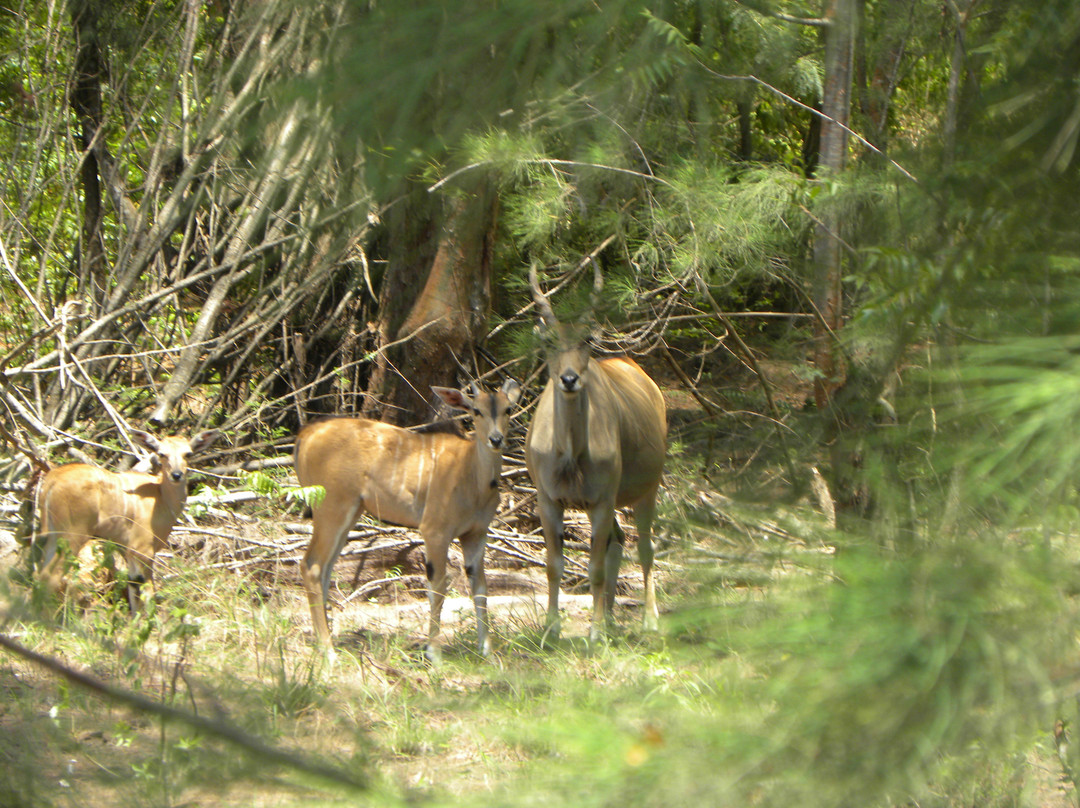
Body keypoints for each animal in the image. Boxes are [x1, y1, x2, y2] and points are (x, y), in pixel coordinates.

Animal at [37, 429, 219, 613]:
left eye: (188, 453)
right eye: (162, 453)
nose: (176, 475)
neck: (161, 497)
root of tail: (52, 480)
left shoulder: (128, 550)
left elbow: (133, 587)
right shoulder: (143, 550)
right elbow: (148, 591)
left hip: (54, 535)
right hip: (73, 535)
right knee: (51, 576)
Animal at [295, 378, 522, 656]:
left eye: (508, 409)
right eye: (476, 411)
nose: (496, 439)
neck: (472, 473)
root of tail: (306, 435)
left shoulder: (476, 534)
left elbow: (480, 589)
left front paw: (487, 651)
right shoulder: (434, 531)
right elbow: (438, 588)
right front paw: (433, 652)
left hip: (349, 513)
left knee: (326, 570)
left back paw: (329, 641)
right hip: (331, 508)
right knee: (312, 565)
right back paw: (328, 651)